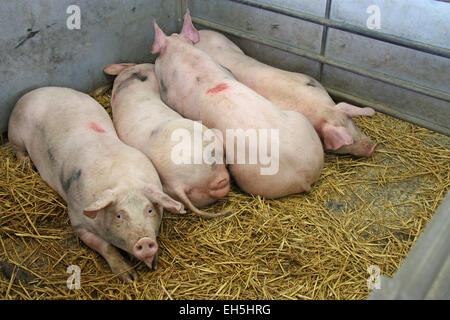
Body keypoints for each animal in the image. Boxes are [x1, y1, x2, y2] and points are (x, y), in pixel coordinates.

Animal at [7, 86, 186, 282]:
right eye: (118, 215)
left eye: (149, 210)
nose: (145, 242)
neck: (125, 180)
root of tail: (34, 92)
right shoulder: (78, 221)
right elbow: (106, 247)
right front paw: (130, 277)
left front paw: (152, 264)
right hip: (15, 133)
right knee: (18, 150)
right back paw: (26, 165)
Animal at [150, 11, 324, 199]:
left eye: (158, 58)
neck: (186, 57)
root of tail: (305, 175)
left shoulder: (173, 98)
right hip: (301, 121)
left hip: (250, 176)